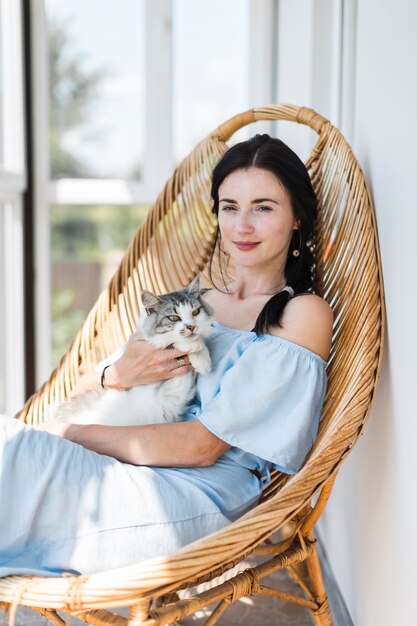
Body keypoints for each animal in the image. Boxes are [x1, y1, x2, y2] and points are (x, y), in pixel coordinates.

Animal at [51, 276, 214, 426]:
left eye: (196, 312)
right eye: (174, 318)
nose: (191, 327)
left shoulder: (171, 396)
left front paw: (203, 360)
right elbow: (168, 340)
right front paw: (194, 349)